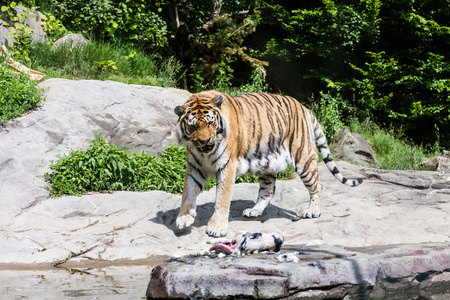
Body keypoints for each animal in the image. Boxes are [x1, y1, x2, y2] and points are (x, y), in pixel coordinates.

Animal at [172, 89, 362, 237]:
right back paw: (254, 211)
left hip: (303, 158)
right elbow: (187, 192)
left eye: (211, 123)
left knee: (317, 185)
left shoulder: (227, 166)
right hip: (266, 163)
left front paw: (216, 228)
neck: (204, 153)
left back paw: (313, 211)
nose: (205, 141)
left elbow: (222, 198)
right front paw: (184, 218)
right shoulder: (195, 167)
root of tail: (304, 108)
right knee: (268, 190)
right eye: (193, 126)